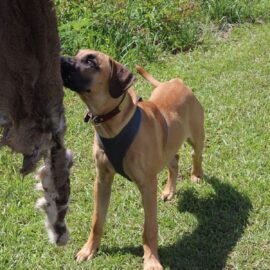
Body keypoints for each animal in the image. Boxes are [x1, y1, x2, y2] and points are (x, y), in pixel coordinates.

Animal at [61, 49, 205, 268]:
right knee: (174, 160)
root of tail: (175, 82)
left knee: (195, 154)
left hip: (196, 135)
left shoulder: (147, 185)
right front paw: (89, 249)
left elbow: (150, 229)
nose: (59, 59)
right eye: (77, 53)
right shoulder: (102, 180)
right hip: (167, 146)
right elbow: (97, 221)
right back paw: (169, 190)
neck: (113, 123)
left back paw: (196, 174)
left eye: (91, 61)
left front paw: (151, 260)